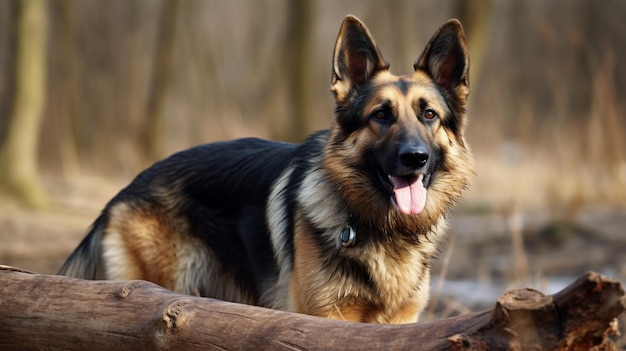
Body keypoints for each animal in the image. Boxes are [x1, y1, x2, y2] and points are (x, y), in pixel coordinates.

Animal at [59, 15, 468, 324]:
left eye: (429, 115)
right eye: (381, 115)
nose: (415, 158)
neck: (385, 230)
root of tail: (126, 189)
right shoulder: (328, 318)